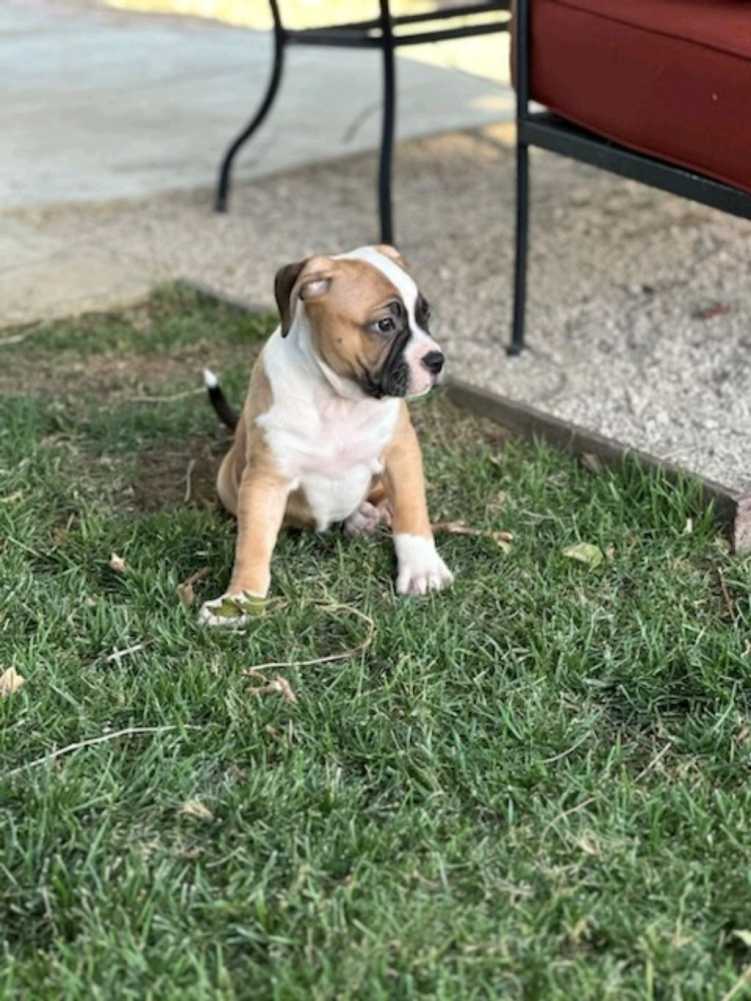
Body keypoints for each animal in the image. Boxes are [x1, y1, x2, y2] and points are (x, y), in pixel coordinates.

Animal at [199, 244, 453, 627]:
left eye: (425, 316)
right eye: (385, 325)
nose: (436, 360)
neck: (338, 399)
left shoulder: (401, 452)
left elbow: (412, 511)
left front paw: (422, 568)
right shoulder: (265, 480)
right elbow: (253, 545)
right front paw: (238, 601)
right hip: (229, 481)